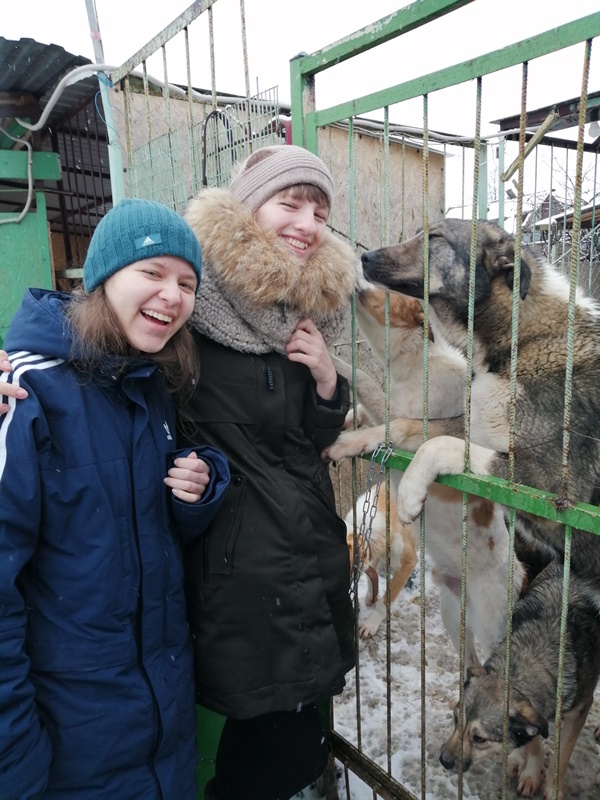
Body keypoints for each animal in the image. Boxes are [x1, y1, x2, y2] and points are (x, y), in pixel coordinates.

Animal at [326, 219, 600, 584]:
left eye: (434, 237)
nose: (363, 257)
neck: (516, 345)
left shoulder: (553, 491)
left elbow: (439, 445)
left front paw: (410, 492)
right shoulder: (466, 425)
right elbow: (405, 426)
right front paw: (351, 441)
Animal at [345, 488, 417, 638]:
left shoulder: (408, 562)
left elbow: (385, 601)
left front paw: (371, 623)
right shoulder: (374, 554)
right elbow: (371, 576)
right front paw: (371, 596)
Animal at [439, 562, 600, 799]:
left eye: (479, 739)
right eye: (456, 719)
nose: (443, 760)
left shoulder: (579, 710)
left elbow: (561, 756)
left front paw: (552, 790)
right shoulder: (534, 715)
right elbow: (533, 743)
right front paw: (532, 774)